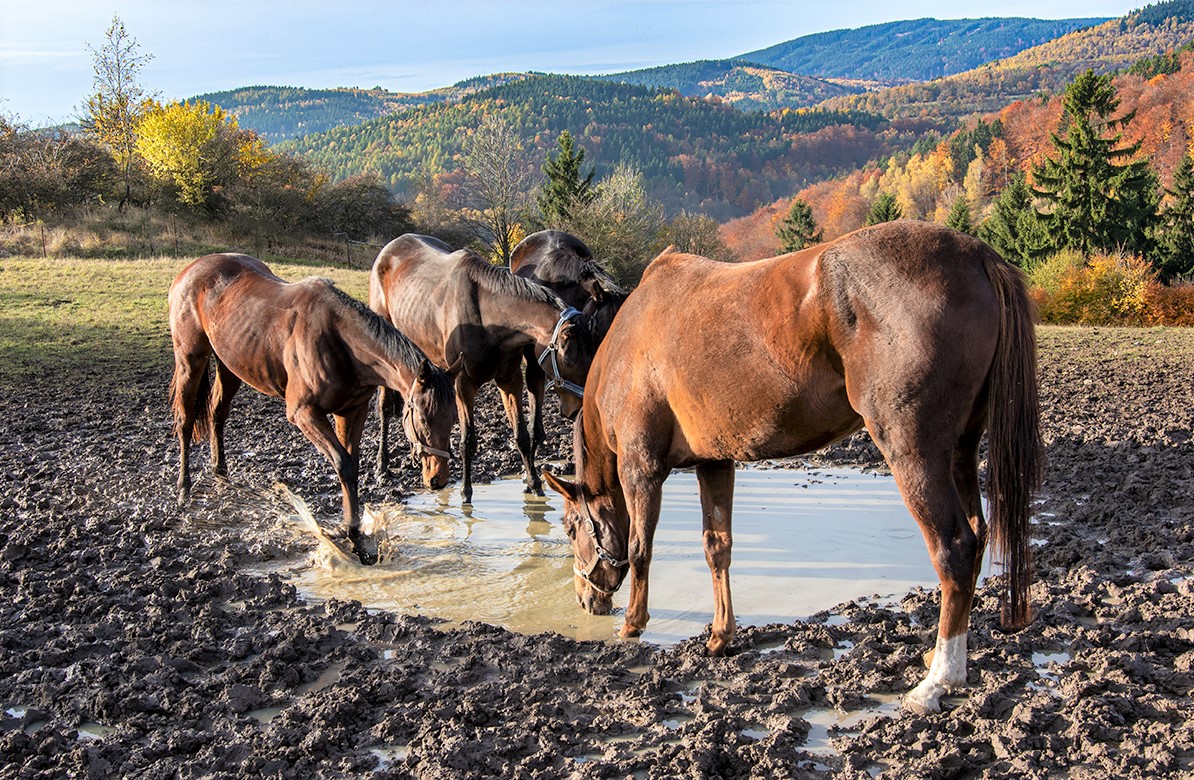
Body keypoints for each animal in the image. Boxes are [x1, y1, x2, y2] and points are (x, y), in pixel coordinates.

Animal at [170, 252, 458, 563]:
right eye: (425, 419)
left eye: (453, 419)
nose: (438, 479)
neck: (340, 343)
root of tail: (191, 269)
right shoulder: (304, 413)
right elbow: (343, 464)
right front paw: (351, 536)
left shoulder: (352, 411)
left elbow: (351, 466)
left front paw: (354, 532)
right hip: (190, 361)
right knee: (186, 422)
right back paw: (183, 489)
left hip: (230, 366)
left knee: (217, 414)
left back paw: (221, 474)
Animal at [372, 231, 597, 501]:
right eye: (570, 360)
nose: (577, 410)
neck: (487, 318)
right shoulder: (463, 384)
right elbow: (467, 441)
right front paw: (466, 493)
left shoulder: (509, 380)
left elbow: (521, 435)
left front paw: (534, 484)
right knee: (385, 408)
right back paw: (382, 468)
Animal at [546, 218, 1041, 711]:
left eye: (571, 528)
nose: (585, 599)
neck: (628, 341)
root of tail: (977, 255)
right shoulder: (714, 462)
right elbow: (717, 547)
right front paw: (720, 636)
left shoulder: (641, 469)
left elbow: (640, 548)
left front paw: (632, 624)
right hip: (960, 449)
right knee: (976, 536)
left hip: (914, 453)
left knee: (954, 549)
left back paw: (938, 679)